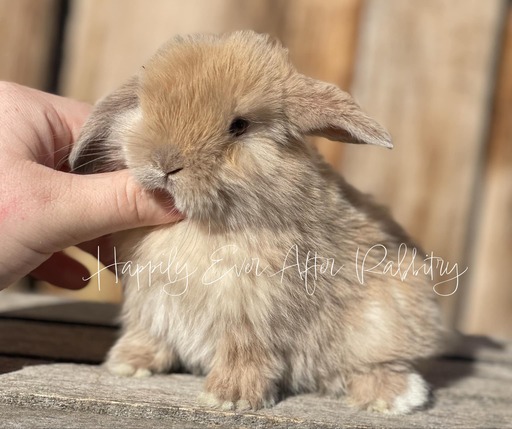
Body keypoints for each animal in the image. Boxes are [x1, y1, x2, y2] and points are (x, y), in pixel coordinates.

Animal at [70, 30, 442, 414]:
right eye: (145, 106)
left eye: (239, 126)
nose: (165, 163)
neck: (202, 223)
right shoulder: (151, 301)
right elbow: (149, 333)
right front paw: (128, 364)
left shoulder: (253, 312)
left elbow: (244, 355)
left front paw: (228, 398)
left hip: (386, 319)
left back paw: (395, 396)